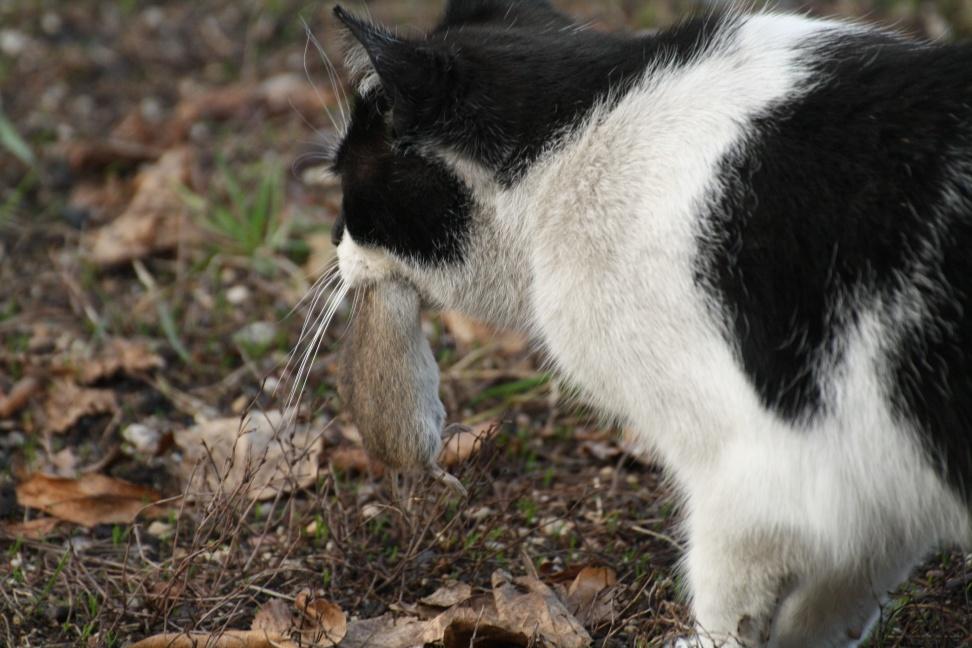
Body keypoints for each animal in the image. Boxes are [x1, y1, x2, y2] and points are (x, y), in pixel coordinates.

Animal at [322, 2, 968, 644]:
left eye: (349, 187)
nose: (332, 240)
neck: (580, 130)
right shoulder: (870, 486)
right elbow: (838, 597)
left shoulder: (756, 473)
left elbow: (732, 602)